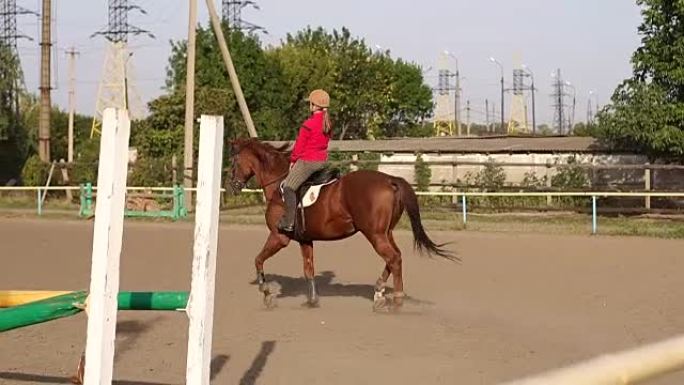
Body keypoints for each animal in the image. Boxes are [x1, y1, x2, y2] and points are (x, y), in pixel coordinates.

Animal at [227, 138, 456, 308]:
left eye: (233, 162)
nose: (232, 187)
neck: (278, 186)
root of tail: (390, 179)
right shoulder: (305, 240)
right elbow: (308, 268)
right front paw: (312, 301)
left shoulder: (278, 237)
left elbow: (258, 259)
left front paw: (266, 292)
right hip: (385, 232)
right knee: (395, 257)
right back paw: (379, 292)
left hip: (375, 234)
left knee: (393, 258)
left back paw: (395, 300)